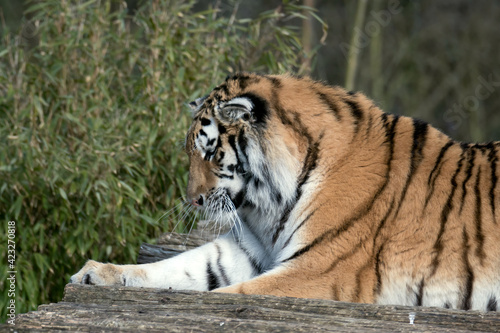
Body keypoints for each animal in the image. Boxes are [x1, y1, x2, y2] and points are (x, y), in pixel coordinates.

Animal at [70, 72, 500, 312]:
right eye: (191, 151)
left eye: (209, 151)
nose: (193, 200)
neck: (269, 203)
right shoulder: (246, 250)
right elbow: (179, 268)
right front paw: (98, 273)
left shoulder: (318, 271)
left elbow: (227, 295)